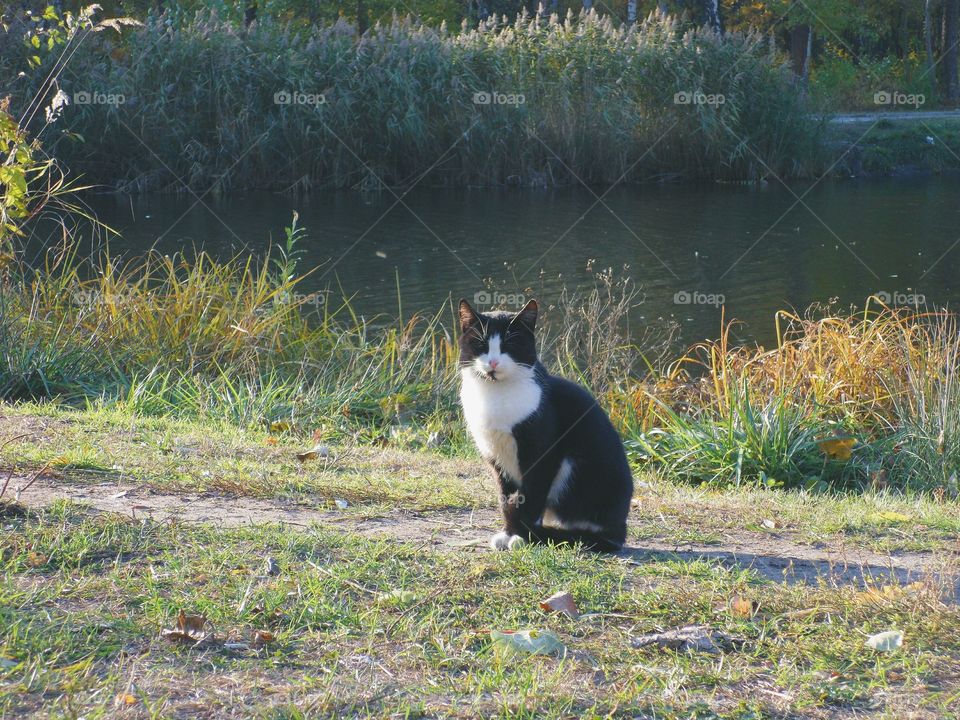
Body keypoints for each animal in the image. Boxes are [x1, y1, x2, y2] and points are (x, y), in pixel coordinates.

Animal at [460, 298, 632, 552]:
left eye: (510, 345)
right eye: (480, 344)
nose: (493, 362)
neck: (495, 395)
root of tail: (620, 530)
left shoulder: (544, 454)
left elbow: (531, 496)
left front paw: (522, 536)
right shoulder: (495, 457)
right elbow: (505, 497)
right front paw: (509, 533)